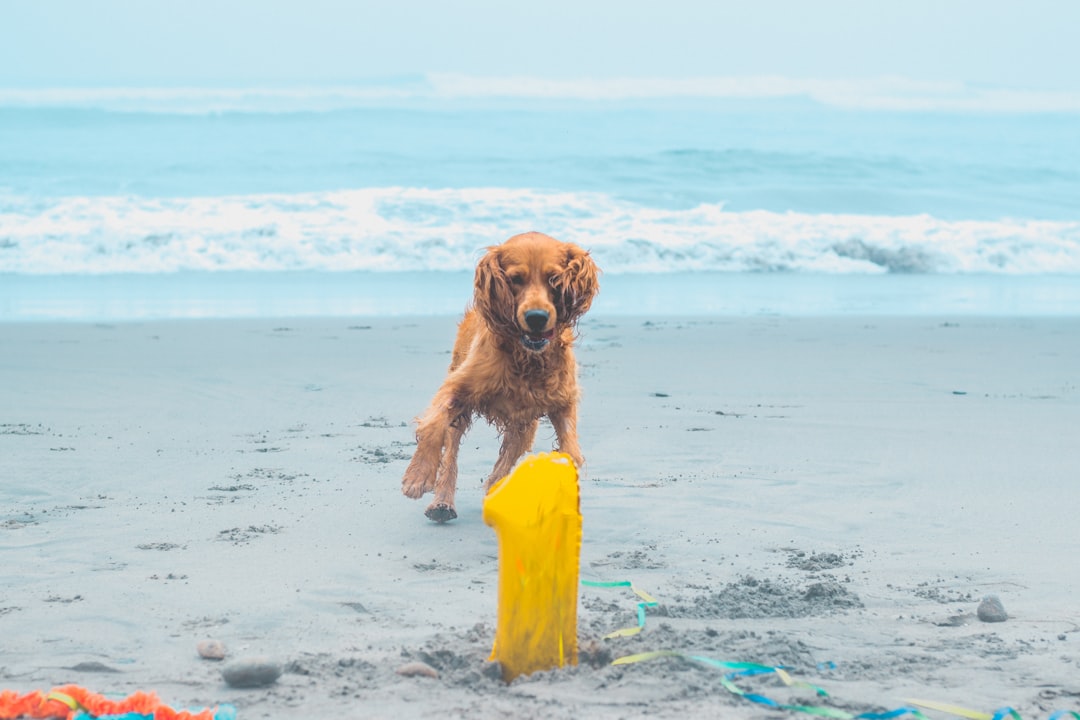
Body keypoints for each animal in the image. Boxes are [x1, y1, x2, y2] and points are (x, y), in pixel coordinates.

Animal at [401, 234, 600, 520]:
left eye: (554, 278)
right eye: (516, 278)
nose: (536, 317)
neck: (526, 357)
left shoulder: (563, 400)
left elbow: (571, 451)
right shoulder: (458, 387)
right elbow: (433, 425)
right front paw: (418, 477)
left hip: (524, 425)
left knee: (506, 458)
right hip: (464, 410)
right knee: (451, 453)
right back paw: (442, 503)